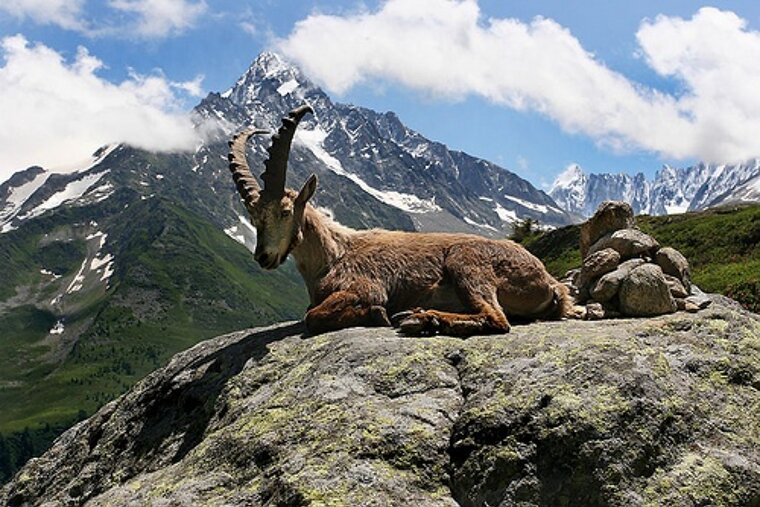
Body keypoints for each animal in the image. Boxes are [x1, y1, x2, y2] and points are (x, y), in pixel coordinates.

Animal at [228, 105, 573, 337]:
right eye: (253, 217)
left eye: (285, 211)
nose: (263, 257)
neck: (332, 256)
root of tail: (550, 282)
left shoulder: (365, 286)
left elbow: (313, 315)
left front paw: (376, 314)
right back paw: (419, 316)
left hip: (466, 262)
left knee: (497, 319)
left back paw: (421, 319)